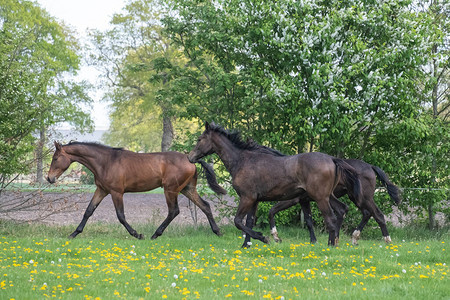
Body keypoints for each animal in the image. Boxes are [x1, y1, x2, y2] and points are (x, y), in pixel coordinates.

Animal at [47, 141, 227, 239]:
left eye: (55, 158)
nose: (49, 178)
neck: (106, 161)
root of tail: (190, 160)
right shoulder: (102, 190)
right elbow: (88, 211)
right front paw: (73, 234)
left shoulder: (116, 192)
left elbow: (121, 216)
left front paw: (137, 234)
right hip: (187, 189)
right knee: (205, 206)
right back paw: (217, 231)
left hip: (170, 190)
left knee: (174, 211)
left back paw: (155, 234)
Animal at [186, 122, 362, 246]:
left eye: (200, 139)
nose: (190, 157)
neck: (242, 161)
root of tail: (332, 159)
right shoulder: (254, 200)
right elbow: (249, 222)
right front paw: (246, 245)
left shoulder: (247, 198)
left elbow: (238, 221)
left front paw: (263, 238)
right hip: (327, 196)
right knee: (341, 210)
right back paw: (334, 242)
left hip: (320, 198)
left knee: (331, 219)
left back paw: (331, 246)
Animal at [268, 159, 400, 244]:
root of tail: (370, 166)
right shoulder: (304, 201)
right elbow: (309, 221)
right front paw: (313, 241)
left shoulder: (293, 200)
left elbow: (272, 211)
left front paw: (276, 237)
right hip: (356, 198)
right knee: (367, 213)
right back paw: (354, 238)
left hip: (365, 198)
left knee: (377, 214)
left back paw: (387, 240)